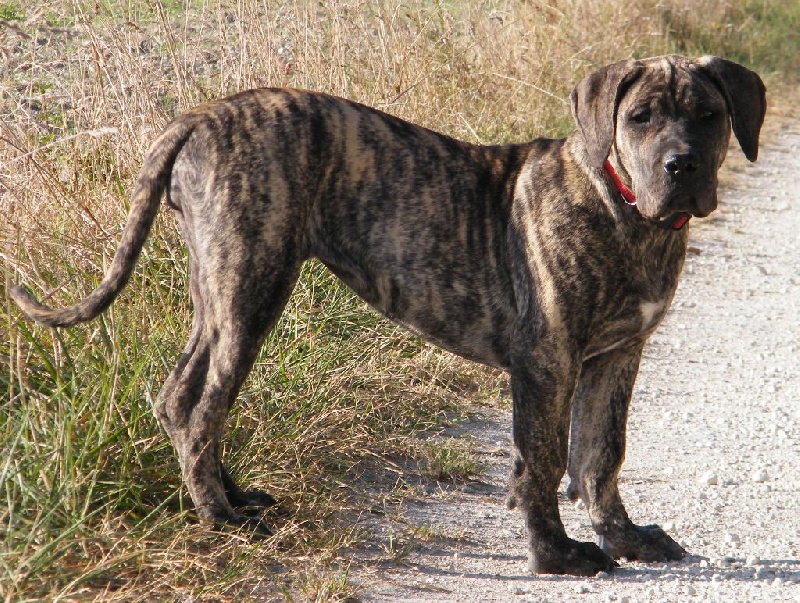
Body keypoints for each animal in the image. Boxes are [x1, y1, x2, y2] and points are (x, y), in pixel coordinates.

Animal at [10, 55, 764, 576]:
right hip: (251, 285)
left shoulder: (618, 354)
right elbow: (545, 457)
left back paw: (235, 497)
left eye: (710, 116)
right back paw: (222, 519)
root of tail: (201, 113)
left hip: (220, 290)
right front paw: (556, 554)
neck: (625, 211)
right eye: (640, 118)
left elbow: (602, 452)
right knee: (201, 405)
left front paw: (625, 537)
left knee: (180, 395)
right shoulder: (548, 357)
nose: (682, 165)